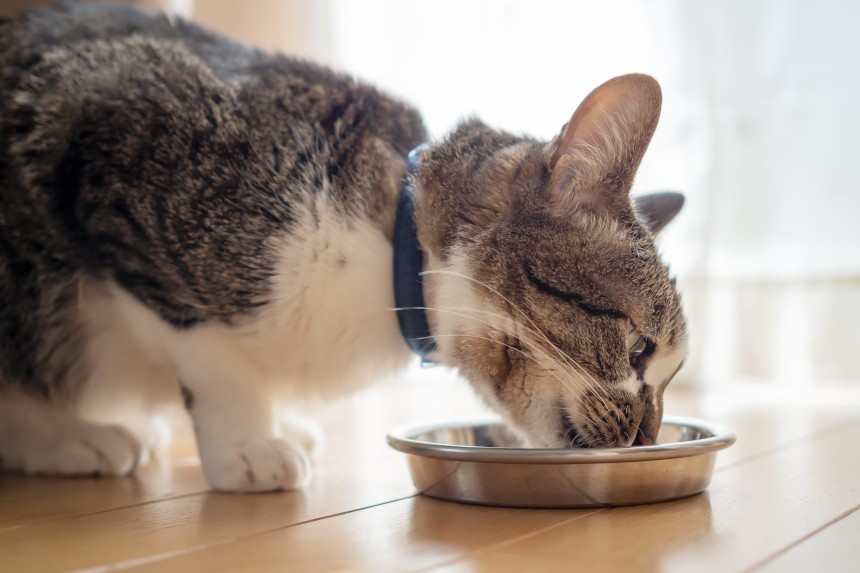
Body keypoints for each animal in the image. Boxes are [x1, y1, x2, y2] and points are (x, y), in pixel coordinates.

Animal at [0, 2, 684, 490]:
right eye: (640, 349)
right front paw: (248, 441)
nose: (648, 438)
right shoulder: (120, 146)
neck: (387, 263)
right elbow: (213, 358)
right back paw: (77, 434)